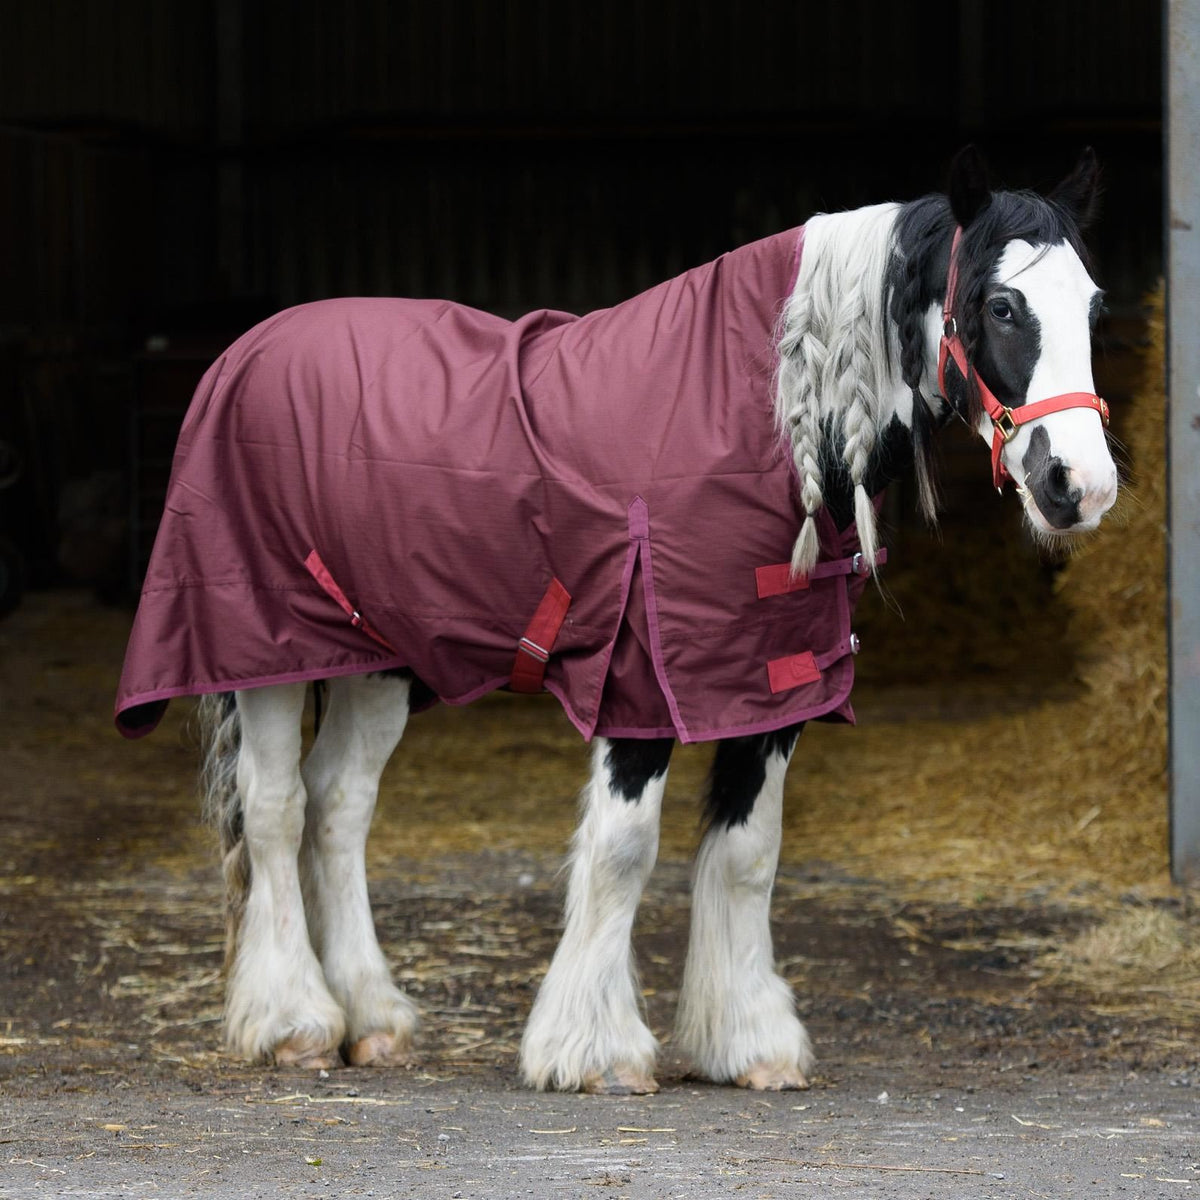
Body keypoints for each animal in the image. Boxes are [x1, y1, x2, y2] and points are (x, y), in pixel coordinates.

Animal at [115, 147, 1116, 1094]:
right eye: (1001, 306)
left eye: (1095, 308)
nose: (1081, 484)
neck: (765, 412)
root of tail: (243, 351)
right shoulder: (642, 681)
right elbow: (624, 850)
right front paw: (593, 1052)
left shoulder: (768, 686)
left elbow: (748, 851)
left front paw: (748, 1044)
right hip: (264, 652)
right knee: (275, 808)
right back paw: (295, 1023)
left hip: (379, 660)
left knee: (339, 805)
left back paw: (374, 1020)